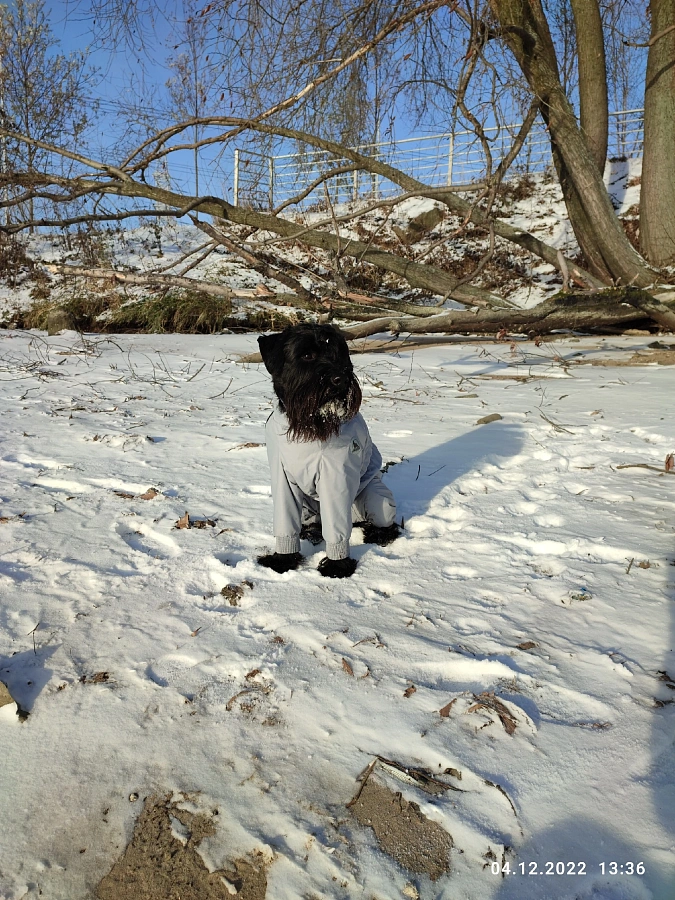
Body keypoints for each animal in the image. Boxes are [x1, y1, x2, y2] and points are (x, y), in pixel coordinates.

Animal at [256, 324, 398, 576]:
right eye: (307, 355)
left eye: (339, 353)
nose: (340, 379)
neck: (308, 427)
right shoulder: (283, 480)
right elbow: (285, 524)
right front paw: (282, 560)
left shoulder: (336, 480)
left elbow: (337, 529)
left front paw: (336, 565)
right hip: (307, 507)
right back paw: (311, 532)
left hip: (375, 499)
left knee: (385, 520)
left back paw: (377, 534)